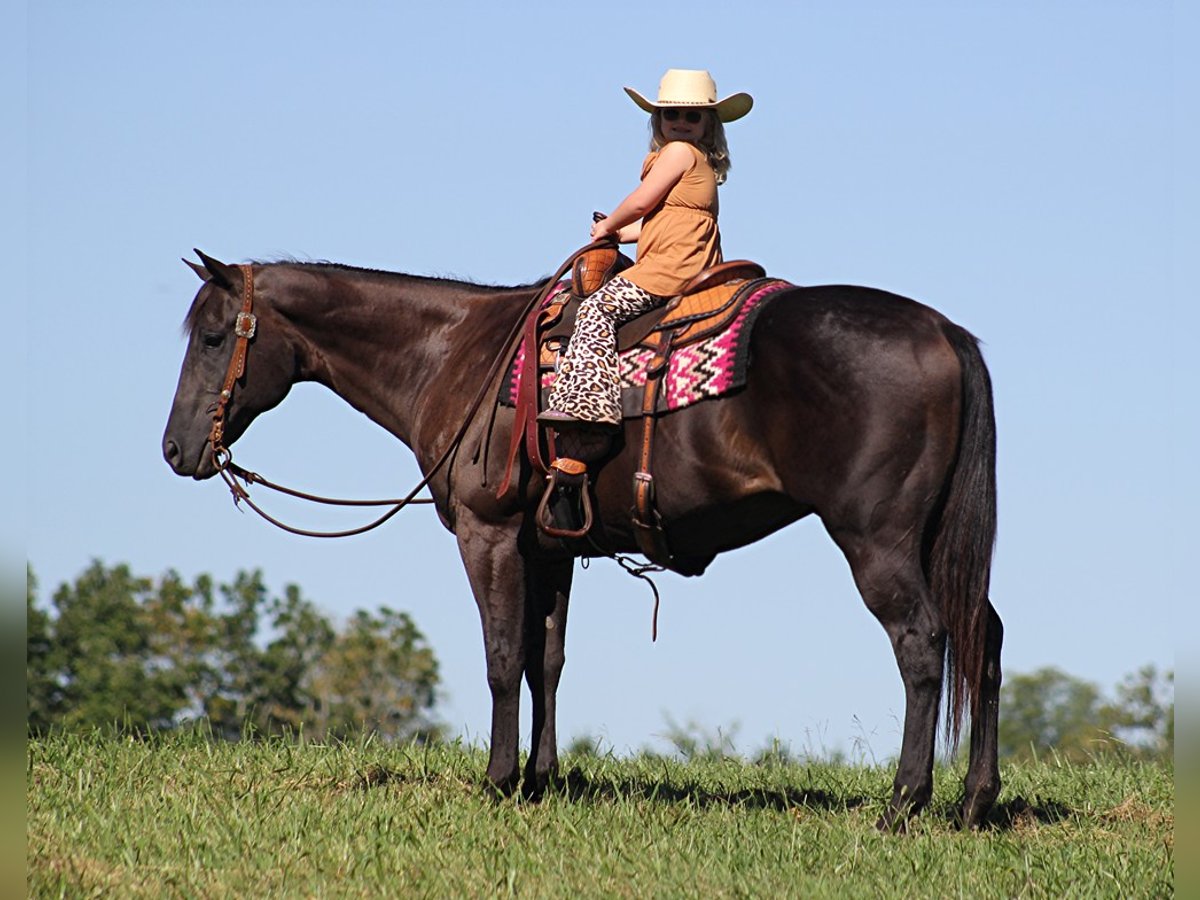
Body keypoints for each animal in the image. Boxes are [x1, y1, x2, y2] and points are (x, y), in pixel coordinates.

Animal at [162, 254, 1003, 830]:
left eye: (213, 338)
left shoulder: (491, 535)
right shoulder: (551, 548)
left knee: (923, 643)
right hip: (935, 544)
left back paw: (905, 802)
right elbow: (548, 660)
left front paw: (499, 781)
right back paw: (975, 799)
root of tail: (941, 330)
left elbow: (504, 656)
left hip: (876, 540)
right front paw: (544, 779)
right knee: (982, 639)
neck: (454, 353)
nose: (175, 450)